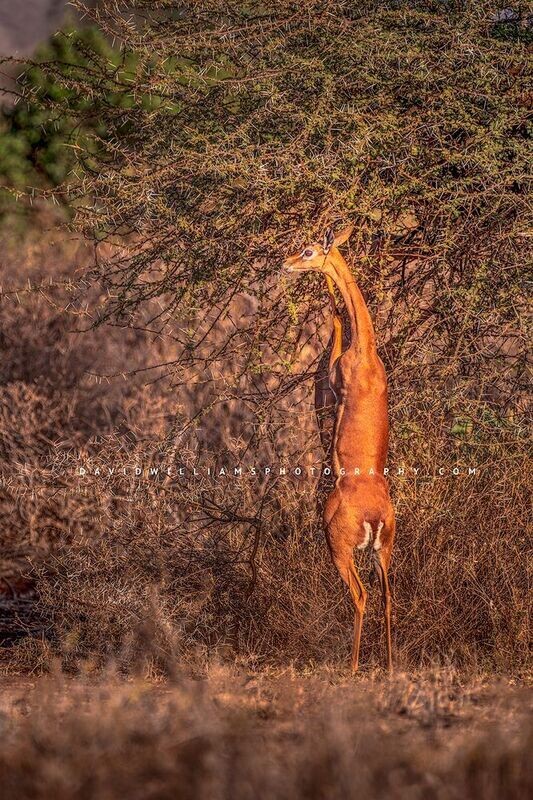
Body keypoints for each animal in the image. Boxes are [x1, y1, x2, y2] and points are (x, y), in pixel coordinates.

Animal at [282, 228, 394, 672]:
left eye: (308, 249)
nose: (286, 262)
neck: (366, 352)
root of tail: (374, 517)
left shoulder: (330, 384)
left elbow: (332, 330)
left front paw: (329, 291)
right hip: (384, 552)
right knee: (388, 601)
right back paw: (390, 666)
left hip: (341, 552)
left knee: (361, 597)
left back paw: (353, 666)